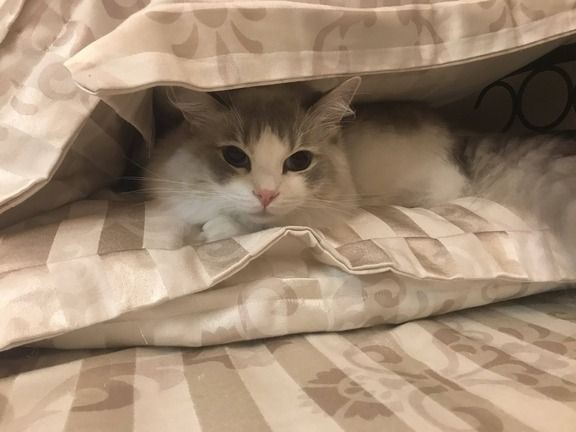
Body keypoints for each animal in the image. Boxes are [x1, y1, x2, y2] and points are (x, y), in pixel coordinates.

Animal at [144, 76, 576, 249]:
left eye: (299, 161)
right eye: (234, 156)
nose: (266, 194)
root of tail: (458, 132)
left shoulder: (330, 205)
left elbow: (275, 222)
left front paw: (220, 229)